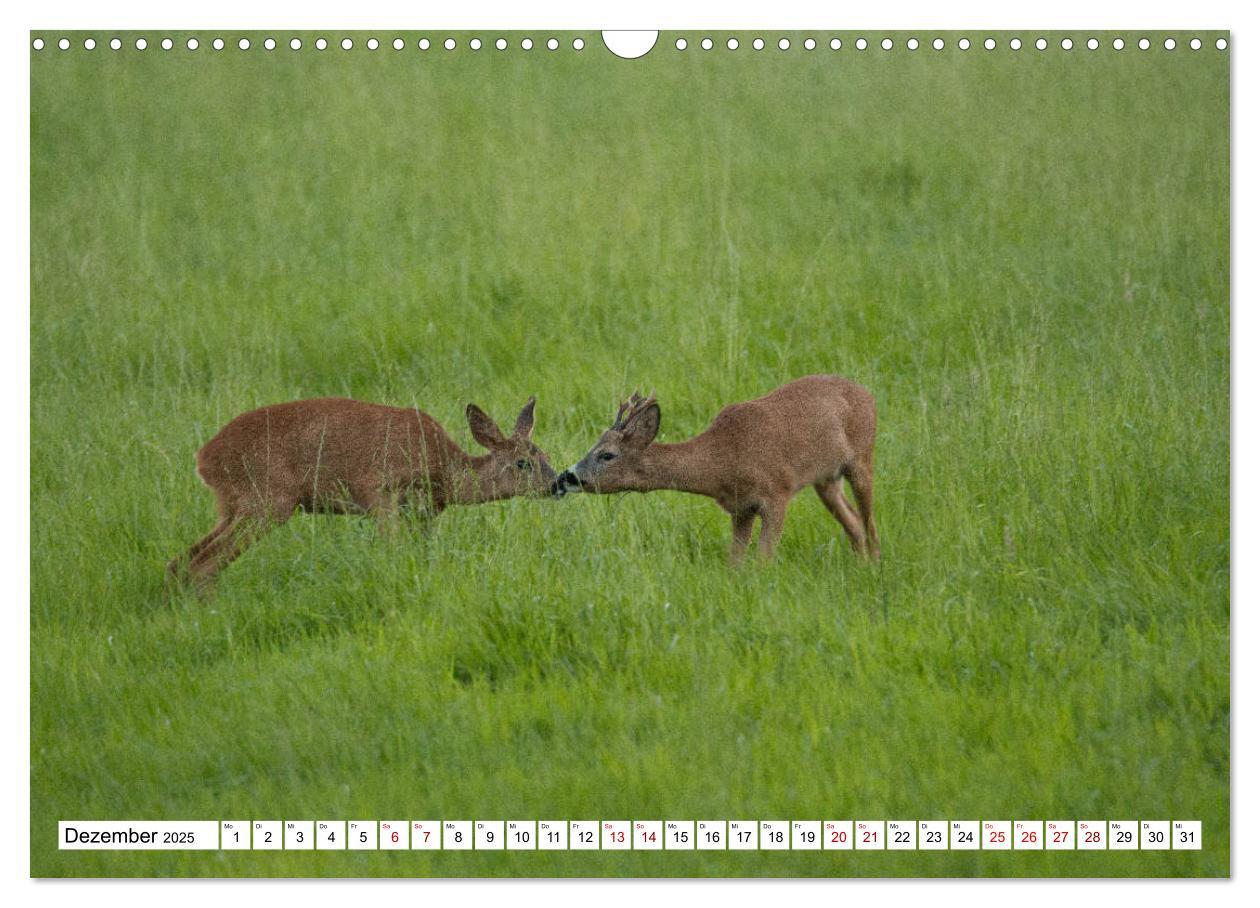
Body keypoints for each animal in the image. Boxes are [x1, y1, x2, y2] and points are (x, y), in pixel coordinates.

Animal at [168, 397, 556, 586]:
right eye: (523, 463)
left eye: (547, 456)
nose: (555, 483)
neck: (442, 471)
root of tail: (203, 460)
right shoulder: (377, 491)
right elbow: (395, 551)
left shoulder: (424, 513)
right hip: (267, 502)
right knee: (203, 564)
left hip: (233, 506)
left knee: (180, 561)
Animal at [556, 372, 882, 559]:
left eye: (607, 455)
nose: (566, 477)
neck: (723, 463)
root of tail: (868, 394)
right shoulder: (741, 507)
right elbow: (735, 561)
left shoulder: (778, 492)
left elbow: (763, 557)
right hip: (826, 479)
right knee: (853, 523)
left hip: (862, 457)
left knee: (869, 523)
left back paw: (874, 569)